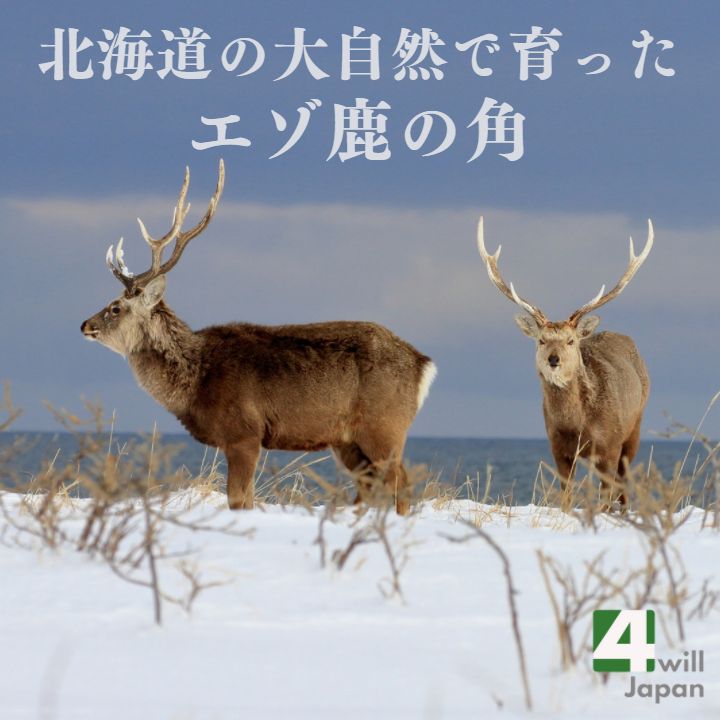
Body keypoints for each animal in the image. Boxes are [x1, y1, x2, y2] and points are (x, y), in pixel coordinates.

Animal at [81, 160, 436, 515]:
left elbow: (238, 499)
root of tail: (424, 364)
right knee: (369, 488)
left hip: (385, 425)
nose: (85, 325)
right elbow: (246, 499)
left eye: (115, 307)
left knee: (401, 483)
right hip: (349, 440)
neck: (197, 381)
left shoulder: (244, 433)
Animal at [476, 217, 653, 504]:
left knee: (623, 487)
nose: (553, 359)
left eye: (571, 341)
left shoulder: (610, 446)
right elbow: (566, 498)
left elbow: (607, 496)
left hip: (634, 427)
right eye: (541, 340)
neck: (577, 426)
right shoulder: (558, 449)